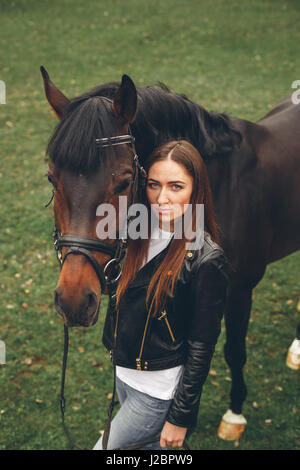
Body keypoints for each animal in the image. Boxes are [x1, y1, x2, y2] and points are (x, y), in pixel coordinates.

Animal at [41, 66, 300, 440]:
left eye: (124, 182)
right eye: (52, 178)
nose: (74, 301)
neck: (220, 187)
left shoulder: (239, 290)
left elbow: (233, 352)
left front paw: (234, 414)